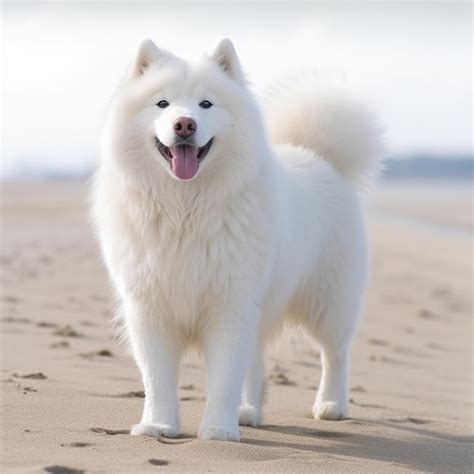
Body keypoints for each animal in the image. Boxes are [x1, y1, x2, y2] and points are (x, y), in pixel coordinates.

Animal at [91, 39, 382, 442]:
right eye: (162, 103)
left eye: (206, 104)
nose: (185, 124)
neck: (184, 210)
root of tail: (319, 158)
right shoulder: (151, 309)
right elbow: (158, 379)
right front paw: (158, 426)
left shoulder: (230, 305)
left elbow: (225, 377)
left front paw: (217, 431)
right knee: (257, 360)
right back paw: (249, 412)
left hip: (328, 303)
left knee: (334, 355)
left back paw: (330, 405)